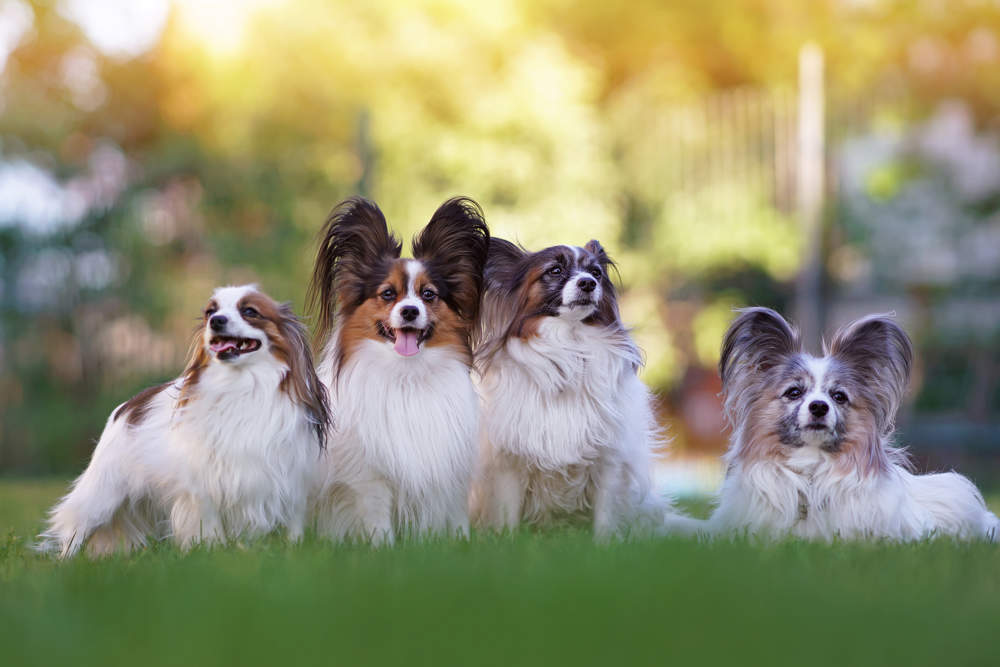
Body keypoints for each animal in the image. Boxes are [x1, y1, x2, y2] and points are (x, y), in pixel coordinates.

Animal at [39, 286, 330, 560]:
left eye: (250, 311)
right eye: (210, 311)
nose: (216, 321)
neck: (243, 385)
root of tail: (127, 406)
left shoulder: (289, 480)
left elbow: (293, 529)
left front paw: (292, 553)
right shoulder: (204, 487)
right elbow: (210, 528)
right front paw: (214, 553)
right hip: (103, 494)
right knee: (76, 530)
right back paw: (67, 563)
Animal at [308, 196, 488, 544]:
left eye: (428, 295)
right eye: (388, 294)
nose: (409, 311)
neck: (407, 375)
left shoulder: (450, 470)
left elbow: (455, 517)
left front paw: (460, 544)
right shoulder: (370, 478)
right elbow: (378, 520)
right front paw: (383, 548)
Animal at [470, 237, 680, 540]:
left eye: (596, 273)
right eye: (555, 271)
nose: (588, 284)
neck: (569, 343)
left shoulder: (609, 459)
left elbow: (606, 517)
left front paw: (604, 546)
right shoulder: (510, 462)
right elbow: (508, 515)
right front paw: (508, 541)